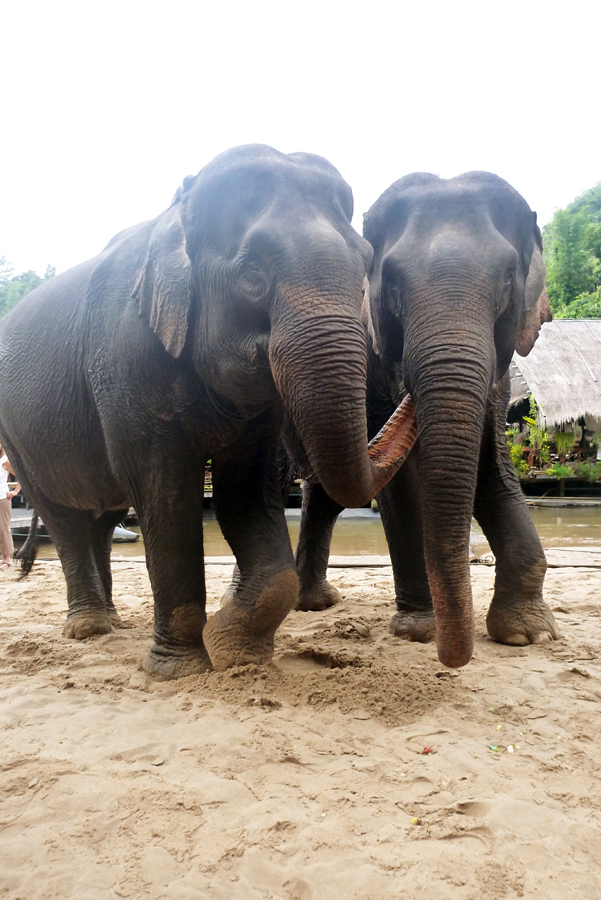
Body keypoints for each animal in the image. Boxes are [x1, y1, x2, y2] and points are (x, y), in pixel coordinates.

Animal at [0, 144, 414, 676]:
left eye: (365, 264)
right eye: (252, 273)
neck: (177, 210)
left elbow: (245, 494)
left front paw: (235, 650)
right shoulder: (125, 361)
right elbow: (167, 496)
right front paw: (178, 670)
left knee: (102, 515)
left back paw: (112, 623)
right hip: (17, 440)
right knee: (64, 517)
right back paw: (89, 628)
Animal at [296, 171, 556, 668]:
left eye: (507, 283)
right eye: (394, 288)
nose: (452, 659)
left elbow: (492, 471)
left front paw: (528, 634)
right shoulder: (375, 373)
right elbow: (401, 489)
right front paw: (418, 630)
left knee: (324, 493)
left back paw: (316, 602)